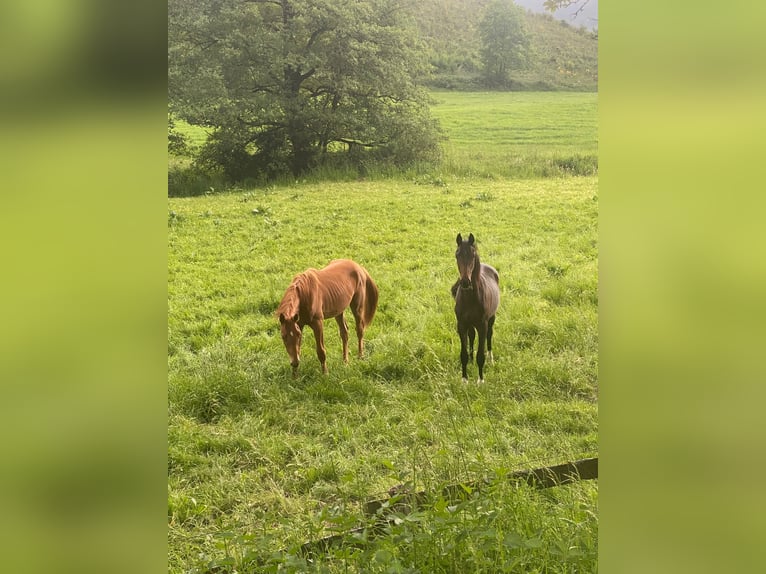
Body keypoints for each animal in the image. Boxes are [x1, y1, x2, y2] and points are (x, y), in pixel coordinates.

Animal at [453, 233, 500, 383]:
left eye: (472, 255)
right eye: (457, 255)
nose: (465, 282)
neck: (470, 298)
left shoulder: (482, 325)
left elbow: (481, 354)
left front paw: (480, 380)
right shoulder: (461, 325)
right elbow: (463, 353)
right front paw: (464, 380)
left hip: (491, 319)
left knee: (489, 335)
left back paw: (491, 359)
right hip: (470, 324)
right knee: (472, 336)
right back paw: (471, 359)